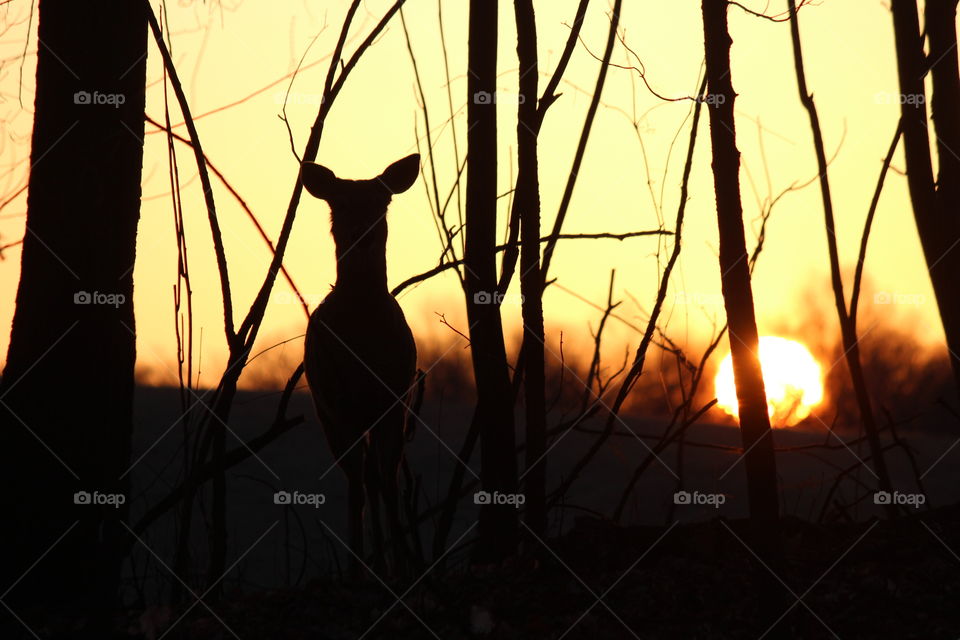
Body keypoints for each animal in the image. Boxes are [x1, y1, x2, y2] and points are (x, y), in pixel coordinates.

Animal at [299, 153, 420, 577]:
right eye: (338, 205)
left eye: (382, 203)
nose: (361, 234)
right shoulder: (338, 403)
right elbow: (357, 482)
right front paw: (356, 567)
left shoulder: (395, 398)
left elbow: (387, 478)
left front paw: (401, 564)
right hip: (329, 412)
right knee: (360, 477)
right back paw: (366, 563)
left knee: (377, 475)